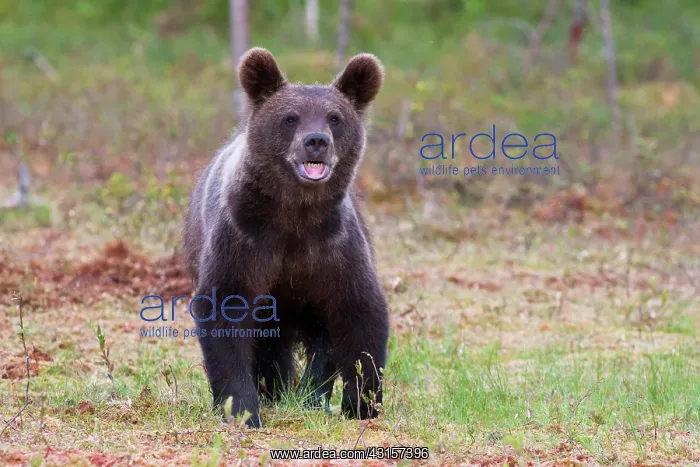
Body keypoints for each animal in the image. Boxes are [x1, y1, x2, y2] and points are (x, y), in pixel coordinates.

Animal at [183, 47, 390, 428]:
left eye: (334, 117)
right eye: (291, 118)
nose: (316, 141)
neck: (295, 215)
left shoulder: (334, 247)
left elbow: (359, 312)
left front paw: (362, 404)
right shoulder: (245, 239)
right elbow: (226, 309)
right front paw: (243, 408)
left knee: (323, 339)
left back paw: (312, 395)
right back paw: (276, 390)